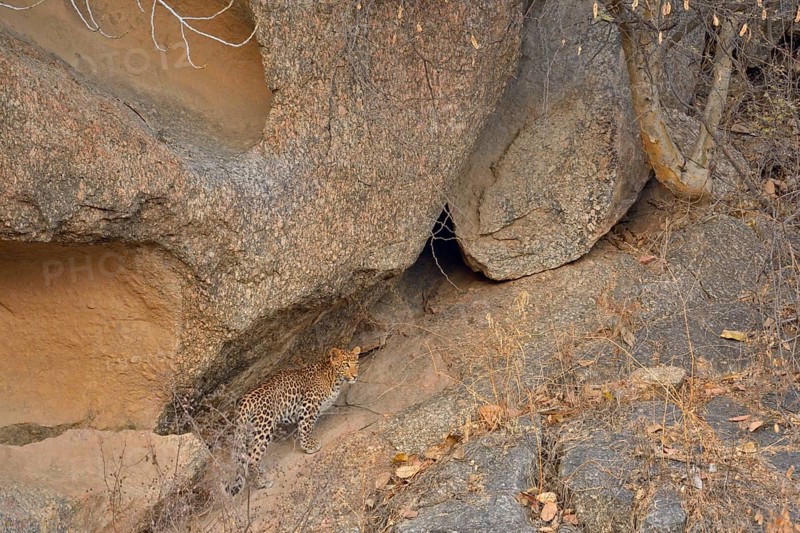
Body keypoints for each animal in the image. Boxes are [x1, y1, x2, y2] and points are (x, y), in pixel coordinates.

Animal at [227, 346, 361, 496]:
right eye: (346, 365)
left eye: (356, 363)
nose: (355, 376)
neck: (333, 377)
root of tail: (245, 399)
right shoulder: (308, 404)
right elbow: (306, 426)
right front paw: (309, 446)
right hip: (265, 427)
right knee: (252, 458)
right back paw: (262, 483)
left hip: (251, 430)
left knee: (247, 454)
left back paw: (260, 471)